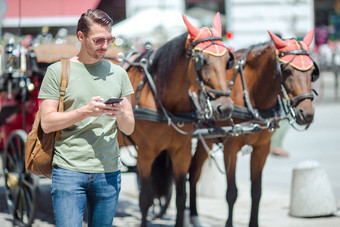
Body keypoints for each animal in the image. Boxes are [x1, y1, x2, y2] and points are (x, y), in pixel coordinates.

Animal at [117, 12, 234, 227]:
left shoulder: (182, 153)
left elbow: (181, 197)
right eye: (202, 61)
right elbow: (145, 198)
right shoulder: (146, 153)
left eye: (227, 61)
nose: (225, 107)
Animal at [189, 30, 318, 227]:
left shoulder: (262, 148)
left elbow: (256, 191)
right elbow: (231, 192)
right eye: (287, 70)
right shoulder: (230, 147)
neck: (251, 93)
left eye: (312, 72)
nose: (307, 113)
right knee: (191, 172)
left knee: (193, 171)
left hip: (208, 140)